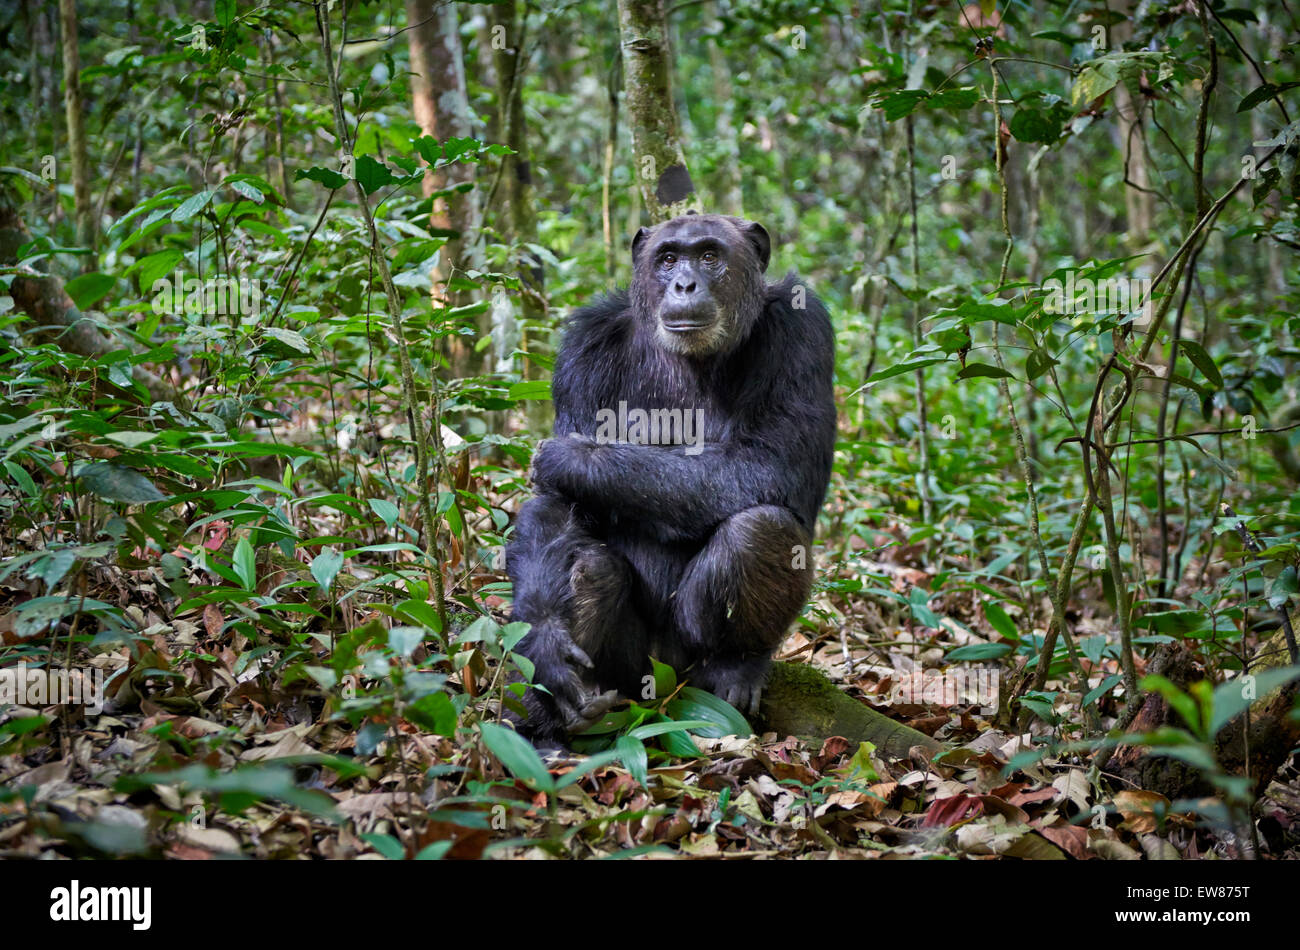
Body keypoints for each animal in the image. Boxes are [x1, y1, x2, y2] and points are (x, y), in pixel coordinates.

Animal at [501, 211, 837, 748]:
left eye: (709, 255)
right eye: (668, 258)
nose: (684, 283)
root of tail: (661, 682)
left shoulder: (802, 330)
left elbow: (773, 462)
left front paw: (570, 457)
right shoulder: (583, 349)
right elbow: (559, 506)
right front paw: (547, 646)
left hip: (686, 658)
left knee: (762, 528)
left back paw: (736, 666)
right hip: (628, 672)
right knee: (591, 566)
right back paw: (546, 726)